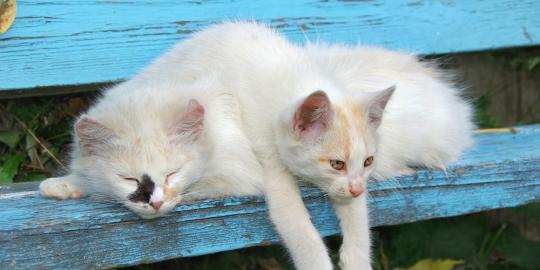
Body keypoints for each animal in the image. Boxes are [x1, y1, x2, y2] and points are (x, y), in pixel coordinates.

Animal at [41, 22, 472, 268]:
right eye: (335, 163)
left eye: (366, 161)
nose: (356, 187)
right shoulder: (272, 167)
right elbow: (301, 232)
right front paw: (64, 184)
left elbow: (357, 231)